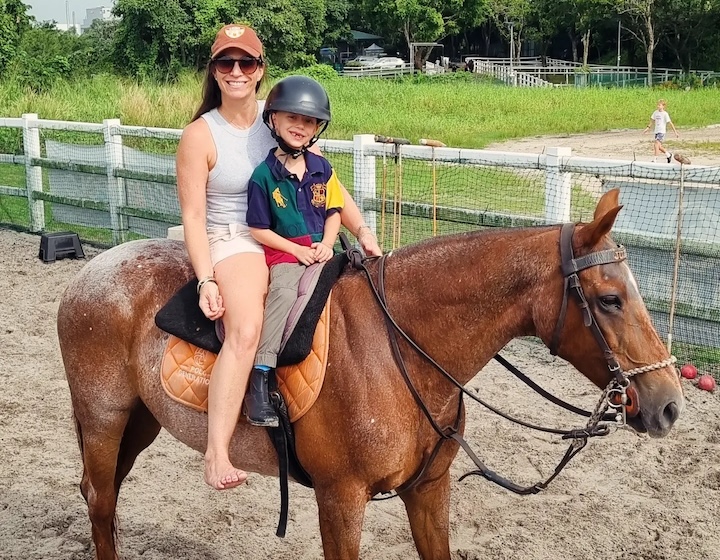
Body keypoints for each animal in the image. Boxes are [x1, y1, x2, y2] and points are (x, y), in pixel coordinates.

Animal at [59, 189, 684, 560]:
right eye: (609, 299)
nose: (668, 404)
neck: (397, 349)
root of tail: (91, 270)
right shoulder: (340, 500)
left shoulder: (428, 492)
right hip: (104, 419)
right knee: (99, 499)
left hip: (140, 422)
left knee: (106, 495)